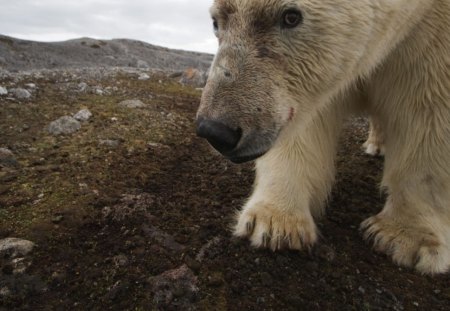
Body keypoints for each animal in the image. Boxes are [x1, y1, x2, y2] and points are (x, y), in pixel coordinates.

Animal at [196, 0, 450, 276]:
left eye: (291, 16)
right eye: (215, 22)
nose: (215, 130)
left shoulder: (431, 36)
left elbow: (430, 113)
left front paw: (403, 238)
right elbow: (307, 121)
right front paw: (274, 223)